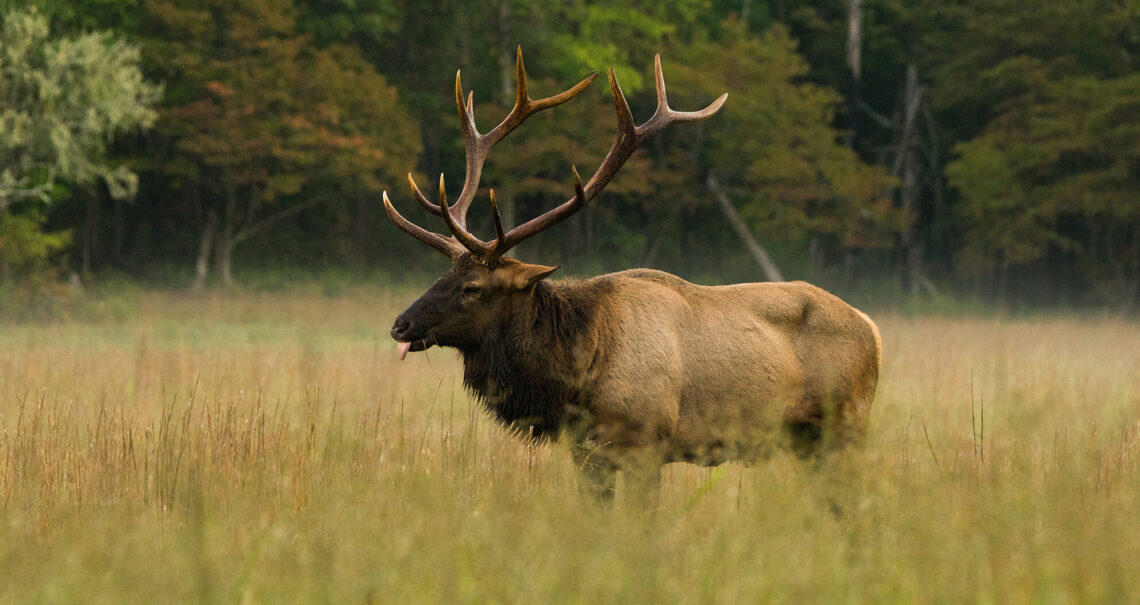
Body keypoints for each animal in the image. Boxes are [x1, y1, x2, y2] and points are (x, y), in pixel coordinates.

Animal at [385, 48, 881, 506]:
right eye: (444, 273)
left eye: (472, 288)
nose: (400, 324)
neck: (576, 375)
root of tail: (872, 328)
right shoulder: (585, 453)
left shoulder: (647, 444)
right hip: (805, 441)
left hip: (846, 425)